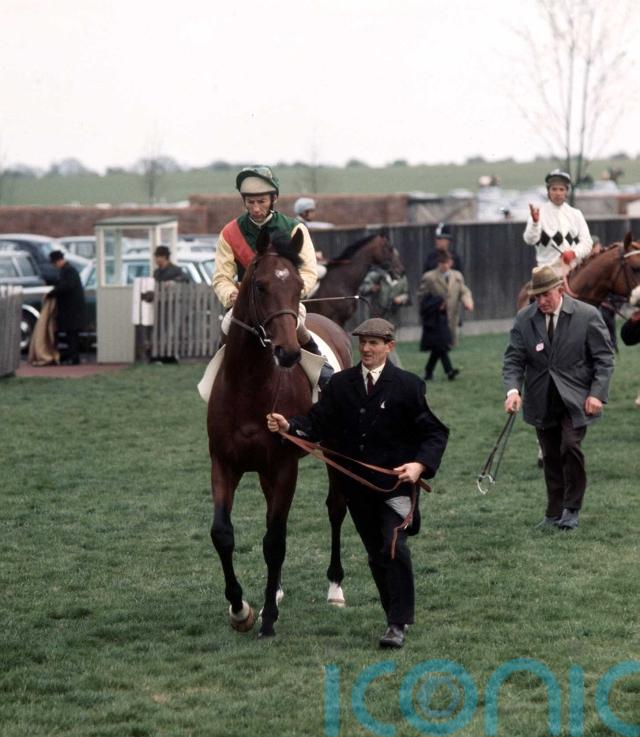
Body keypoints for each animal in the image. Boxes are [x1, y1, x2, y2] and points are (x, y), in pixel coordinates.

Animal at [207, 227, 352, 638]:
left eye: (299, 286)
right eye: (260, 285)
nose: (287, 352)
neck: (249, 389)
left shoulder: (286, 466)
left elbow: (275, 540)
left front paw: (268, 617)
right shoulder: (224, 463)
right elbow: (222, 533)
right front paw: (240, 609)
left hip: (334, 449)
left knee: (336, 507)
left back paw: (335, 587)